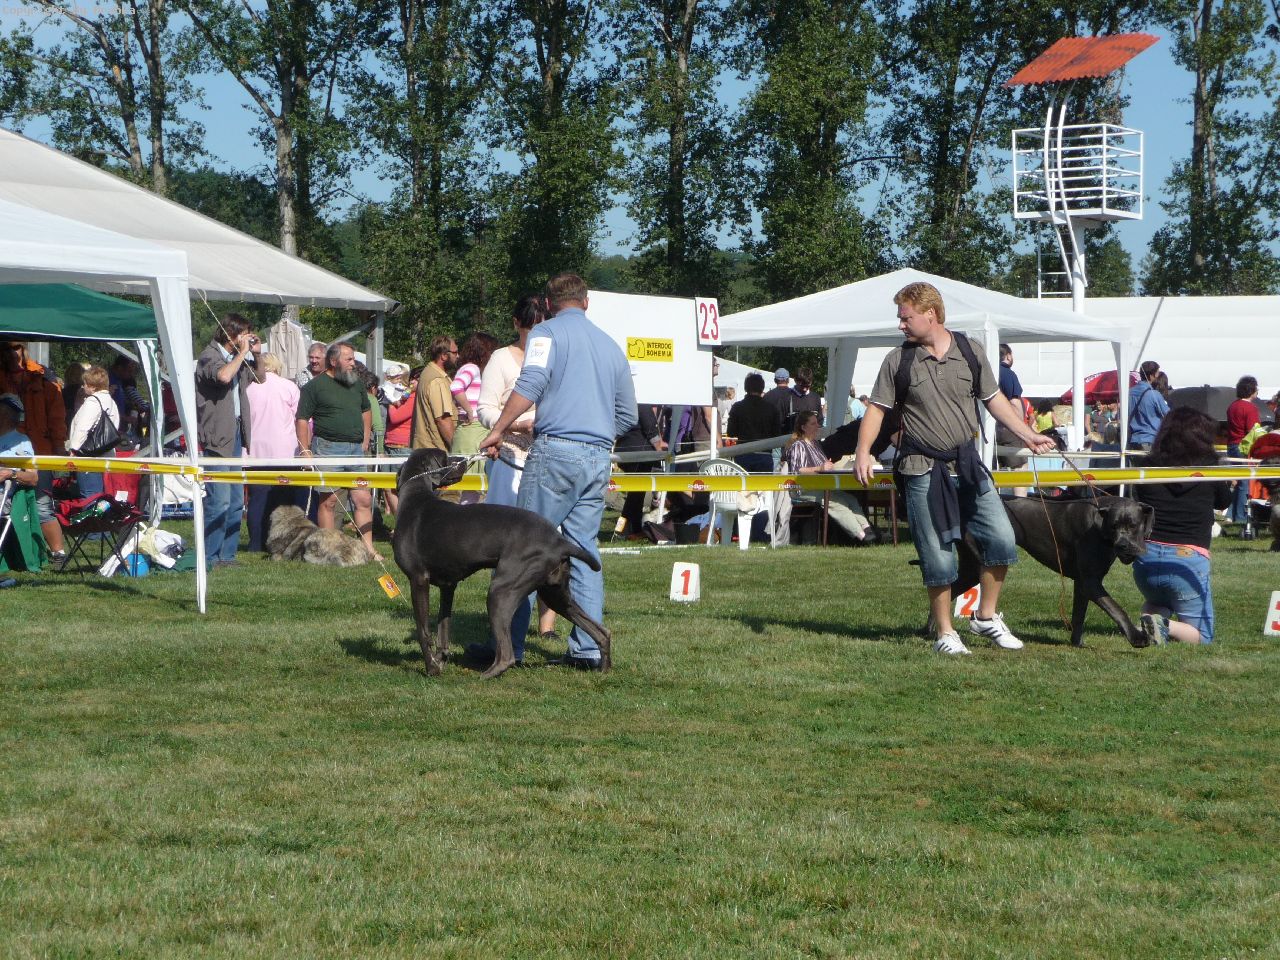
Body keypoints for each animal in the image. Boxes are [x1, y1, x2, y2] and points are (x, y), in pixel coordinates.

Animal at [391, 448, 612, 679]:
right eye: (445, 458)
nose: (462, 460)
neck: (415, 496)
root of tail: (558, 540)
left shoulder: (418, 580)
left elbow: (423, 630)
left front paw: (431, 668)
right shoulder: (448, 586)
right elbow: (443, 628)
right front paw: (440, 660)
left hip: (501, 591)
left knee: (507, 655)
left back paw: (486, 674)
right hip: (556, 594)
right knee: (602, 631)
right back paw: (604, 670)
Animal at [932, 493, 1153, 647]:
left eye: (1133, 525)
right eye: (1114, 526)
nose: (1123, 545)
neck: (1100, 525)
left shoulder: (1083, 582)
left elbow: (1079, 614)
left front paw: (1077, 642)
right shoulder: (1091, 581)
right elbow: (1116, 608)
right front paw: (1137, 637)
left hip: (970, 566)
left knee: (948, 589)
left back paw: (931, 630)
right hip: (978, 562)